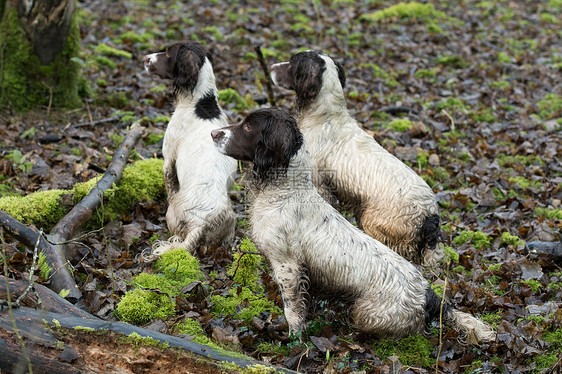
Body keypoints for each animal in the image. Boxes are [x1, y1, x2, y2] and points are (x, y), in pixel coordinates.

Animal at [143, 42, 235, 256]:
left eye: (168, 53)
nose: (145, 58)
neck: (201, 103)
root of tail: (200, 224)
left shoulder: (168, 161)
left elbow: (170, 187)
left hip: (172, 214)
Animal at [211, 107, 494, 342]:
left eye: (249, 127)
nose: (213, 133)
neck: (284, 191)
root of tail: (427, 294)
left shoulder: (287, 265)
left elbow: (293, 310)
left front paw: (292, 339)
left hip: (365, 312)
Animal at [270, 50, 438, 266]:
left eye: (291, 63)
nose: (271, 67)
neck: (325, 117)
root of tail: (429, 215)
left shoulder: (319, 183)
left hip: (375, 223)